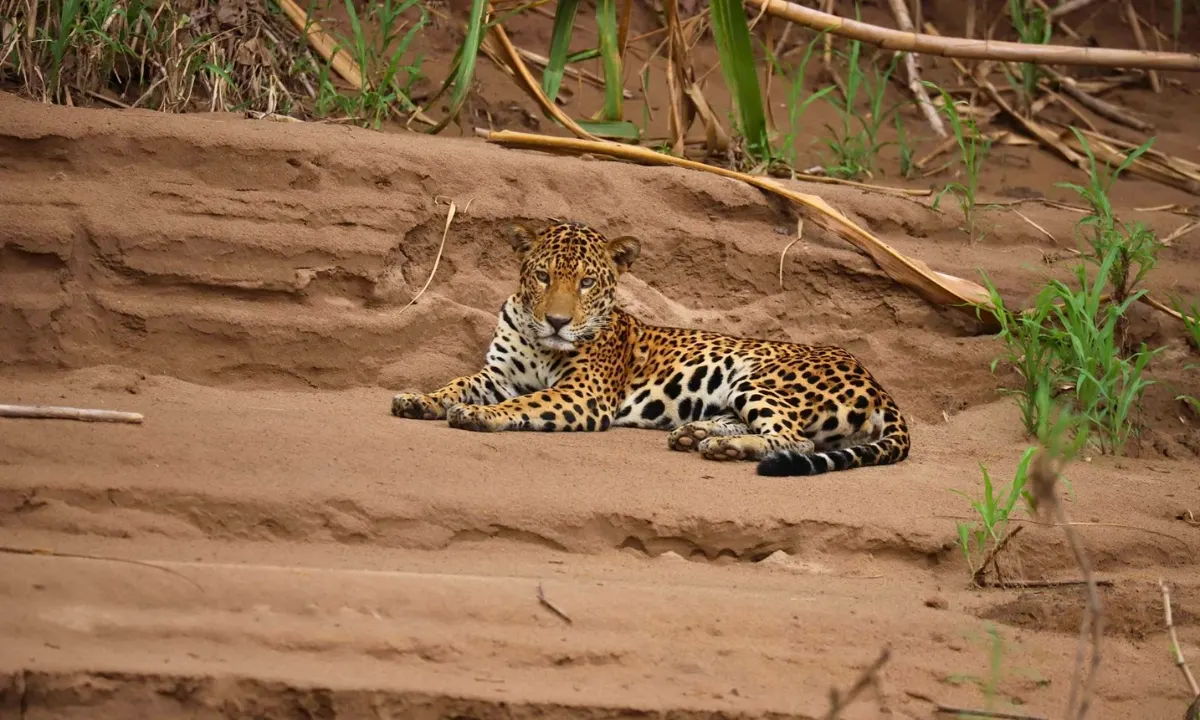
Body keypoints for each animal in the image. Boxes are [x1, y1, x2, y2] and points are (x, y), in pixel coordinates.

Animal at [390, 220, 911, 476]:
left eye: (586, 283)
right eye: (542, 276)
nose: (557, 322)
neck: (540, 344)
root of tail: (880, 386)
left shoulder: (584, 394)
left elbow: (527, 402)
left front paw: (480, 415)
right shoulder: (496, 375)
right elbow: (456, 382)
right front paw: (419, 399)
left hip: (761, 378)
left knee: (794, 438)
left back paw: (724, 447)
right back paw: (697, 434)